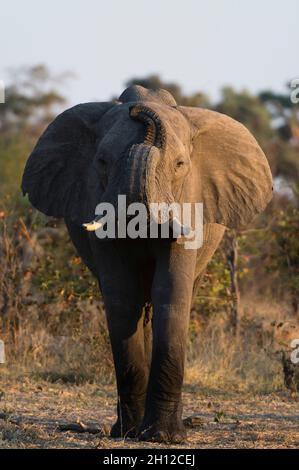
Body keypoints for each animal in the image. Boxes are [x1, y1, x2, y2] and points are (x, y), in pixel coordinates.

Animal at [21, 85, 274, 444]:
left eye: (180, 164)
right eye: (102, 161)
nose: (138, 108)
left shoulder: (189, 204)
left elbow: (172, 294)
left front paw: (163, 437)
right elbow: (123, 298)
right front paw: (129, 434)